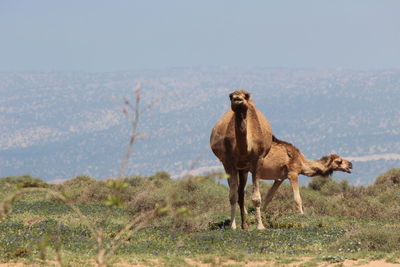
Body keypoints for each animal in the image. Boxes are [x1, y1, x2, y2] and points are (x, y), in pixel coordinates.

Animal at [209, 90, 272, 230]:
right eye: (231, 96)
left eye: (246, 95)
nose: (238, 99)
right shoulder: (228, 162)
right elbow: (232, 196)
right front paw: (232, 226)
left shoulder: (257, 160)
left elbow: (256, 197)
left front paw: (260, 226)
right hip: (234, 167)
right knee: (237, 192)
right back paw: (242, 224)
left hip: (244, 169)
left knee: (241, 193)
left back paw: (245, 225)